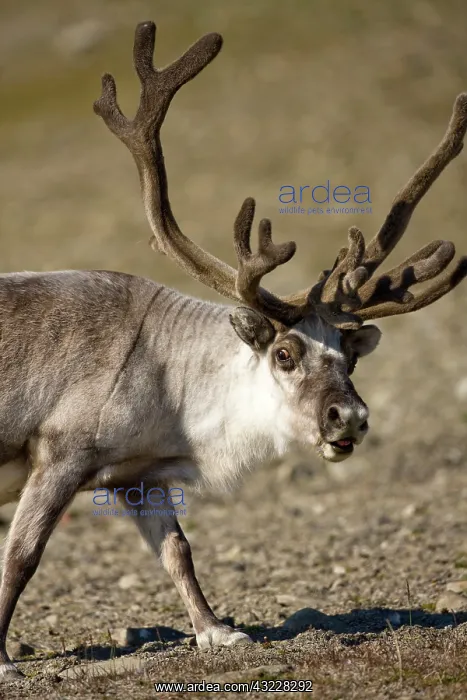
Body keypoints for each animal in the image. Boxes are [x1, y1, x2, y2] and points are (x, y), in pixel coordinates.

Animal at [0, 20, 466, 681]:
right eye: (285, 354)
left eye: (351, 357)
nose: (349, 417)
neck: (170, 384)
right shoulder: (58, 454)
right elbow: (21, 556)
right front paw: (2, 661)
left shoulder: (137, 478)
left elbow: (178, 551)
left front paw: (218, 631)